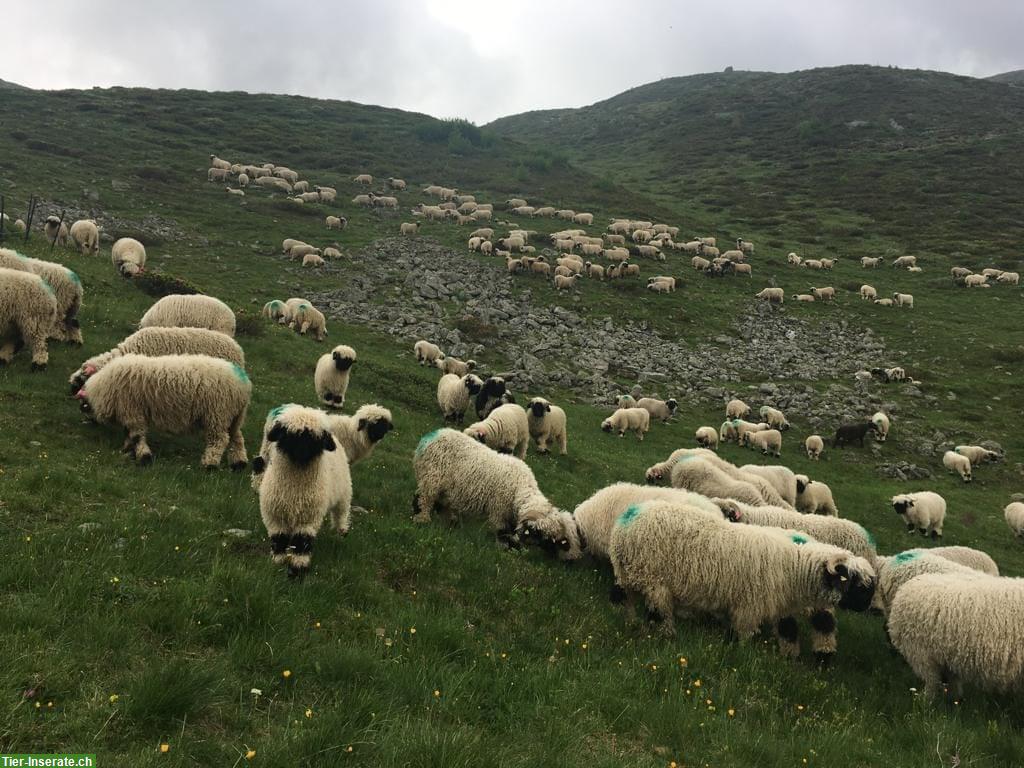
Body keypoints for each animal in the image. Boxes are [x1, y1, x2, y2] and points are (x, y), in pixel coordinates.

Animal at [75, 354, 249, 468]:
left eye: (83, 405)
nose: (87, 421)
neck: (103, 387)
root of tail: (243, 383)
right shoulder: (129, 412)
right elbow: (129, 433)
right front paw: (128, 449)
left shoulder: (132, 411)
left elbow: (137, 435)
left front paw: (143, 456)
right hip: (234, 417)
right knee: (237, 438)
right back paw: (239, 463)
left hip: (217, 413)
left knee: (220, 440)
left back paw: (210, 464)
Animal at [254, 409, 352, 577]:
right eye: (288, 434)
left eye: (316, 439)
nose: (302, 453)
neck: (295, 491)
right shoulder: (275, 516)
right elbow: (279, 539)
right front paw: (279, 562)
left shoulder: (308, 519)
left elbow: (301, 543)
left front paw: (297, 569)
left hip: (344, 493)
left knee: (341, 513)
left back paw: (342, 531)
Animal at [409, 428, 569, 548]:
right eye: (534, 531)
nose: (525, 547)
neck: (519, 486)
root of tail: (430, 436)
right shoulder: (499, 509)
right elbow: (501, 529)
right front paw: (503, 545)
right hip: (432, 476)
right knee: (423, 498)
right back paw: (422, 518)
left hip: (443, 484)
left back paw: (449, 521)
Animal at [606, 495, 880, 647]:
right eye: (858, 585)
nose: (867, 608)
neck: (794, 566)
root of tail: (629, 518)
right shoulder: (749, 607)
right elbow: (743, 637)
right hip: (654, 579)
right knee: (658, 612)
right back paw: (666, 634)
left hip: (627, 574)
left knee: (624, 600)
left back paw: (629, 622)